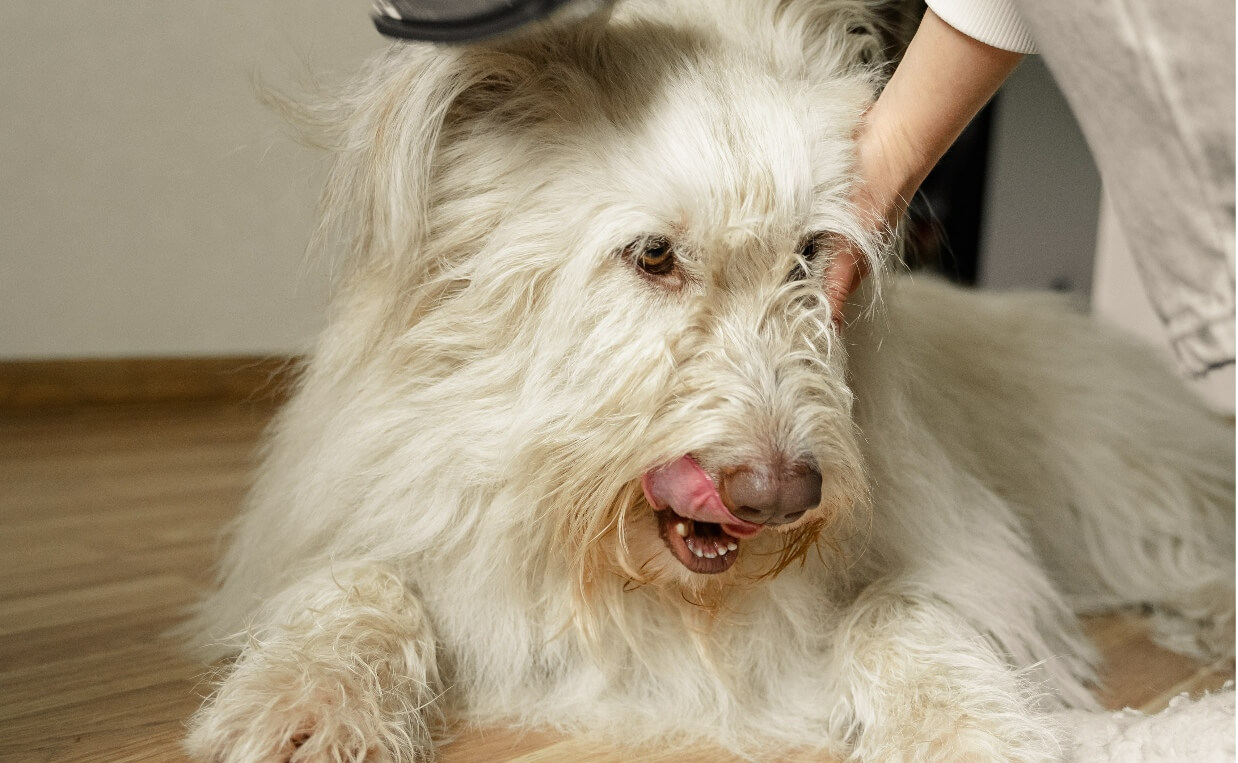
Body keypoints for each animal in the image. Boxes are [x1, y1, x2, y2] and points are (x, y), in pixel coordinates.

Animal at [185, 2, 1238, 758]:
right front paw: (304, 708)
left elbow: (900, 612)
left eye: (811, 256)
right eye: (653, 254)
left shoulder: (972, 555)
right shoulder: (371, 518)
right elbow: (359, 583)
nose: (780, 494)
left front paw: (962, 733)